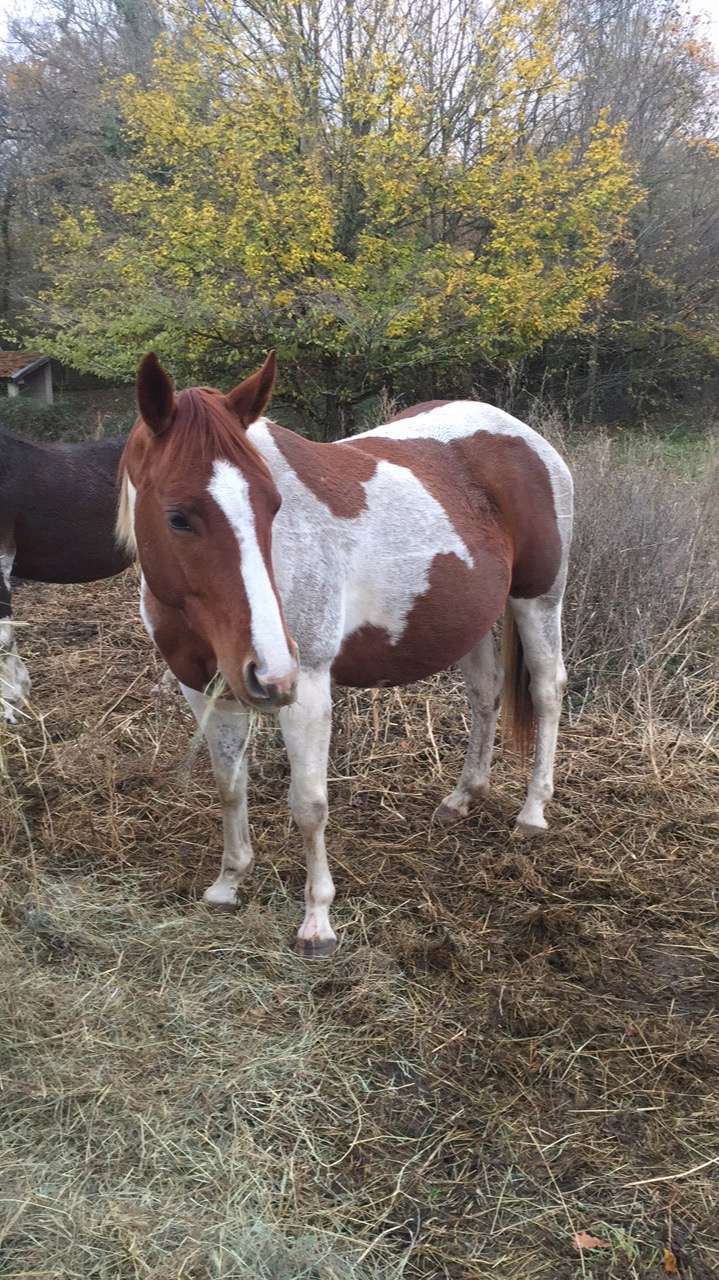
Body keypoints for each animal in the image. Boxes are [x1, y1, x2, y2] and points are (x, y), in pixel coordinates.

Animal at [118, 355, 570, 957]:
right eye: (178, 517)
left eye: (274, 504)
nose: (270, 670)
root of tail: (524, 437)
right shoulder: (205, 686)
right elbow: (229, 783)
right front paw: (229, 882)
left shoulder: (306, 683)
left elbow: (309, 805)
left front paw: (318, 922)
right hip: (470, 618)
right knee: (485, 694)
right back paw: (462, 797)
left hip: (538, 599)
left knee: (545, 690)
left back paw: (533, 811)